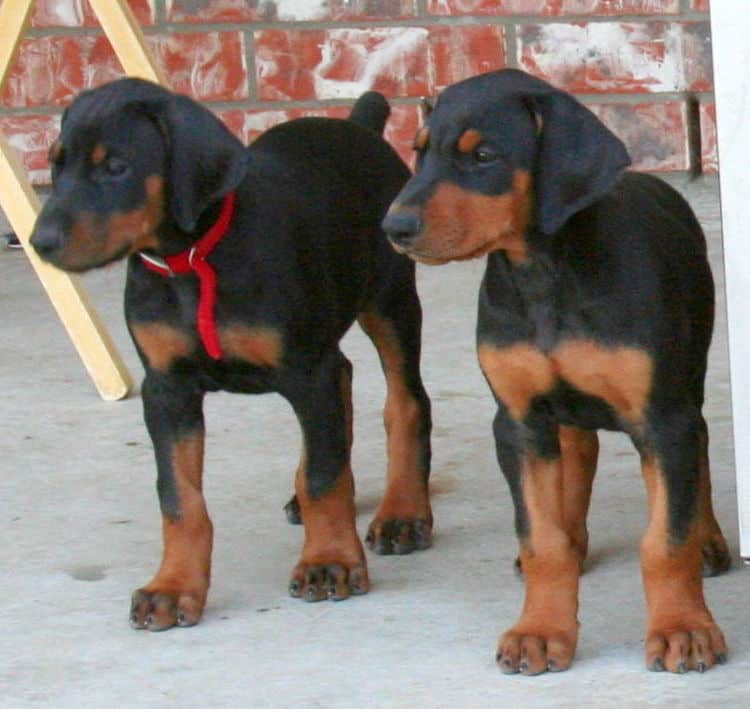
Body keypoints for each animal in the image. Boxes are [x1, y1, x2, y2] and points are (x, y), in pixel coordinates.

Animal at [32, 77, 434, 632]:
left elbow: (325, 476)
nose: (40, 242)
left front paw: (329, 560)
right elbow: (179, 498)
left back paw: (403, 513)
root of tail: (357, 126)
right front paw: (172, 586)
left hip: (389, 300)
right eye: (57, 164)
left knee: (404, 401)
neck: (192, 261)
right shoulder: (167, 390)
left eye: (116, 166)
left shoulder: (308, 370)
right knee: (345, 383)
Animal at [384, 69, 732, 672]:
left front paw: (684, 629)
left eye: (484, 156)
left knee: (700, 451)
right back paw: (574, 536)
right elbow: (541, 540)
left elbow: (666, 538)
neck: (544, 273)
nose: (394, 226)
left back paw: (708, 539)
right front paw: (540, 631)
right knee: (578, 453)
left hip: (689, 378)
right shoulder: (519, 420)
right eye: (418, 151)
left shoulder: (662, 418)